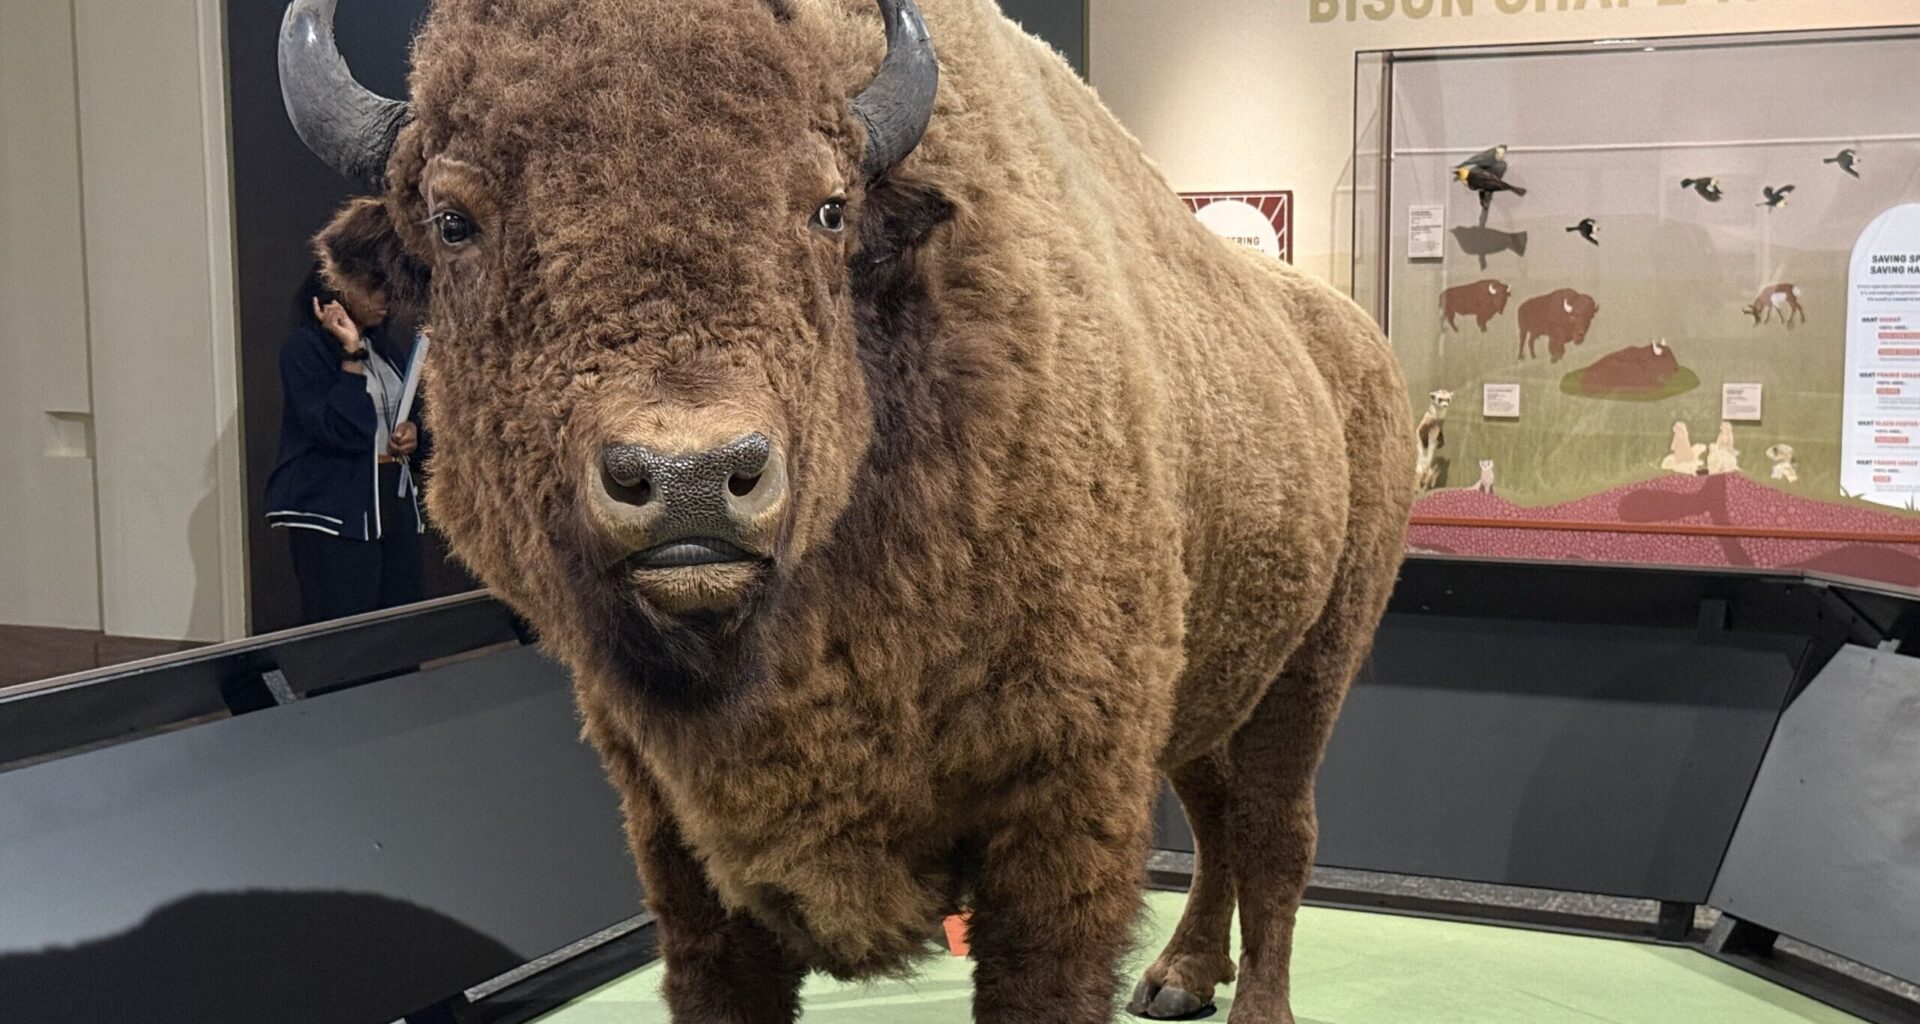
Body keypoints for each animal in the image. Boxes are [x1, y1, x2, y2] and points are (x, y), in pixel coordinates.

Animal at [280, 0, 1414, 1020]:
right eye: (453, 220)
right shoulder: (675, 833)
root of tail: (1352, 342)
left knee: (1273, 831)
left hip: (1314, 668)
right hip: (1221, 675)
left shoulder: (1065, 808)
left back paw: (1247, 1001)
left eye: (827, 207)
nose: (690, 475)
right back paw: (1178, 978)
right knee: (1217, 813)